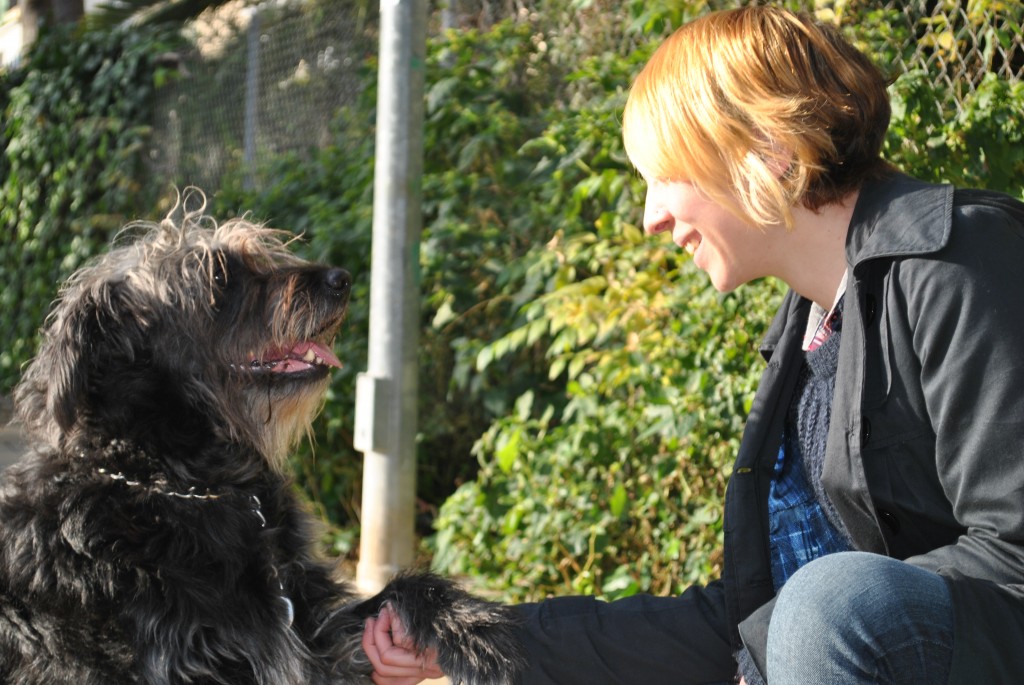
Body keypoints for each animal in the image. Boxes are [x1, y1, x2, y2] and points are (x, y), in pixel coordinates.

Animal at [0, 193, 524, 683]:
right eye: (218, 279)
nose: (341, 279)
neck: (194, 484)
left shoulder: (310, 633)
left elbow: (402, 590)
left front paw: (483, 627)